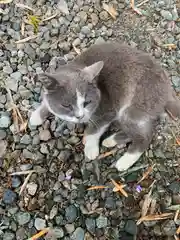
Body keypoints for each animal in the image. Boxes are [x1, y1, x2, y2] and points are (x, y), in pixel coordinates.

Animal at [29, 42, 180, 172]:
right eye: (66, 105)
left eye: (87, 102)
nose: (80, 116)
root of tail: (168, 90)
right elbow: (46, 102)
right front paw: (36, 116)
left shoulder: (107, 109)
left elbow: (95, 128)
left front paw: (90, 148)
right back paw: (111, 140)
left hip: (135, 105)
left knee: (144, 136)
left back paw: (124, 161)